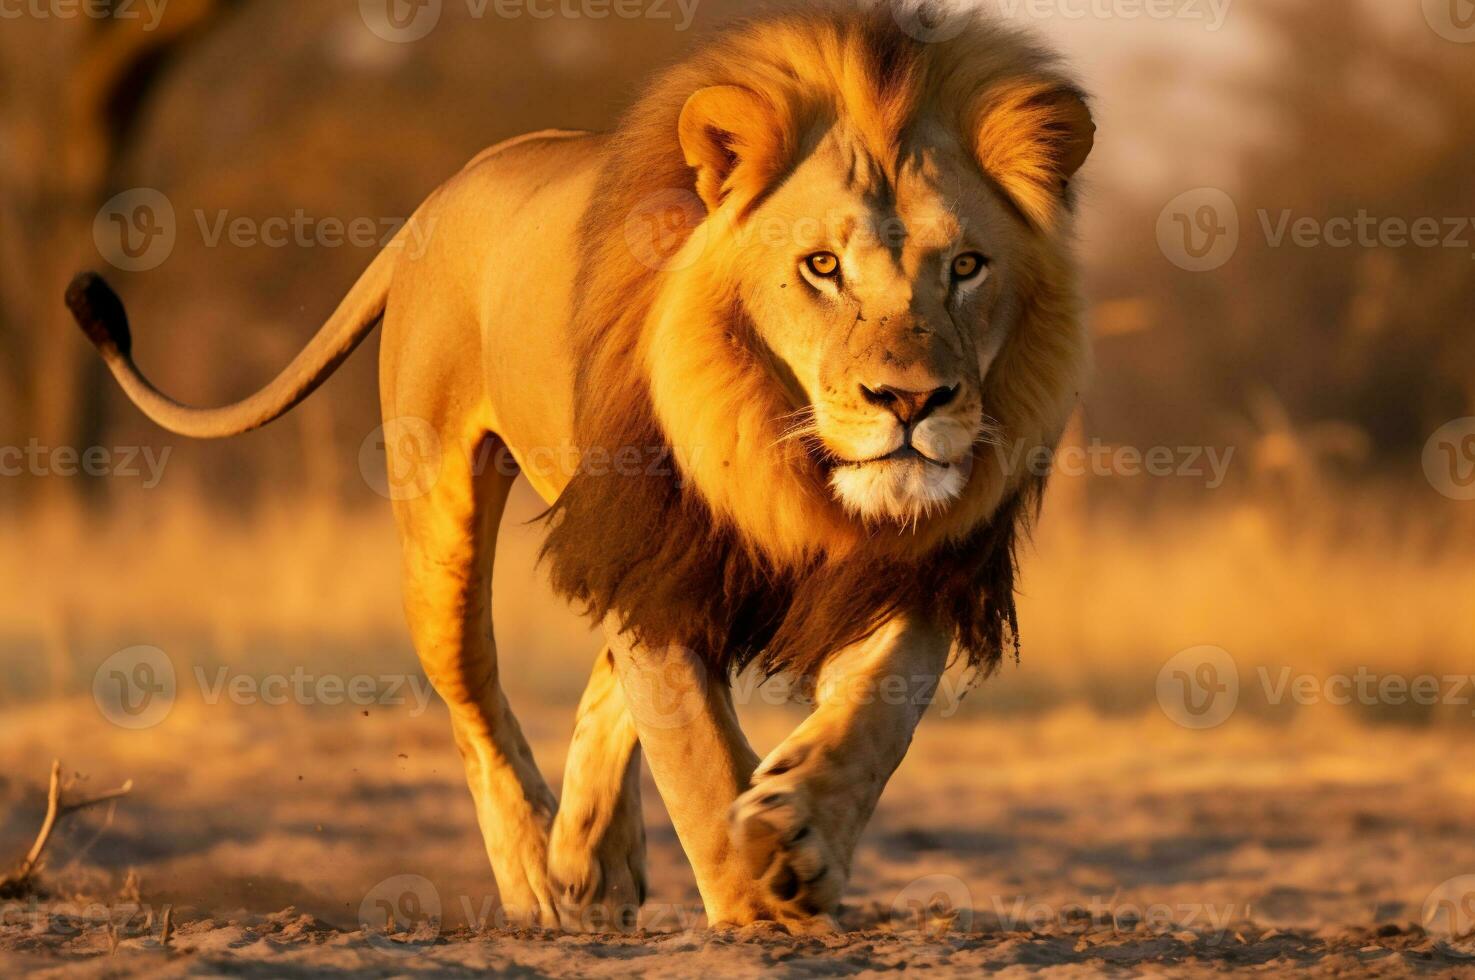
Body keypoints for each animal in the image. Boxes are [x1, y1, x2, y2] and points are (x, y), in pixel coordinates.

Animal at [63, 1, 1091, 932]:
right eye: (822, 266)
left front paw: (796, 833)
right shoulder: (656, 546)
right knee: (472, 692)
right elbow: (694, 749)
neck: (786, 460)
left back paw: (594, 864)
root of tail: (447, 191)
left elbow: (876, 713)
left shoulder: (914, 566)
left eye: (966, 266)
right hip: (442, 516)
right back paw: (536, 872)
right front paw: (749, 893)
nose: (912, 403)